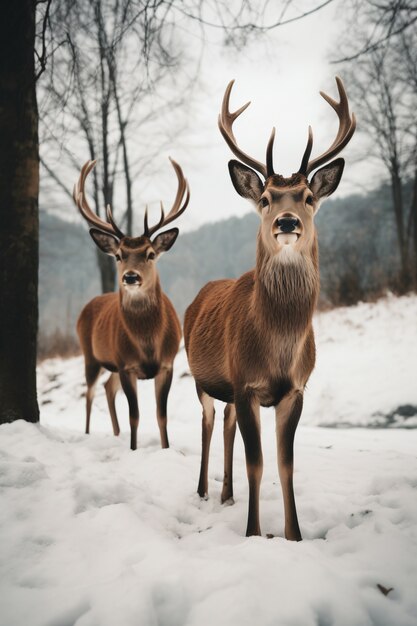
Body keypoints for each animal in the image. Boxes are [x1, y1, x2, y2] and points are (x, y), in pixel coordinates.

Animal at [74, 156, 189, 448]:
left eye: (150, 254)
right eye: (118, 255)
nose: (130, 276)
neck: (147, 343)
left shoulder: (167, 364)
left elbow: (161, 416)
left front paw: (165, 448)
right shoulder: (126, 365)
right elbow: (134, 417)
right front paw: (134, 449)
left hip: (111, 364)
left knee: (107, 388)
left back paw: (115, 434)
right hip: (90, 354)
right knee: (90, 392)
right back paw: (88, 433)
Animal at [184, 77, 356, 536]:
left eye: (308, 196)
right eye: (265, 198)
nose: (287, 221)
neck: (277, 346)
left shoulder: (294, 389)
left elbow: (286, 466)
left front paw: (294, 536)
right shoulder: (246, 384)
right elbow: (257, 465)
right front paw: (253, 533)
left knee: (225, 423)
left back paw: (226, 495)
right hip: (200, 378)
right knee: (209, 421)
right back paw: (204, 492)